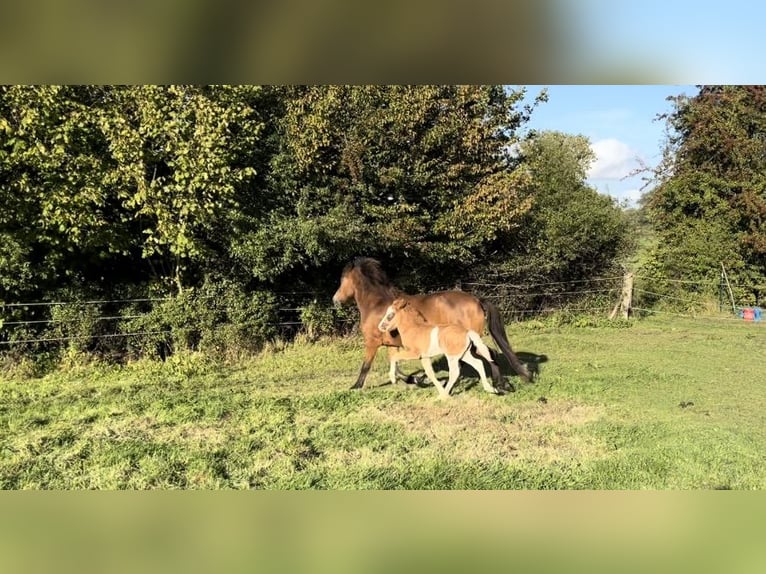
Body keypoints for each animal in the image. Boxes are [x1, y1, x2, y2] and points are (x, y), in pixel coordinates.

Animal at [330, 258, 536, 390]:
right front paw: (416, 379)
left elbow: (366, 365)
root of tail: (476, 300)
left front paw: (355, 386)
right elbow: (396, 366)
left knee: (489, 353)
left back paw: (500, 384)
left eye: (342, 280)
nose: (335, 300)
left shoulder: (372, 343)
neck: (376, 304)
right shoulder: (392, 344)